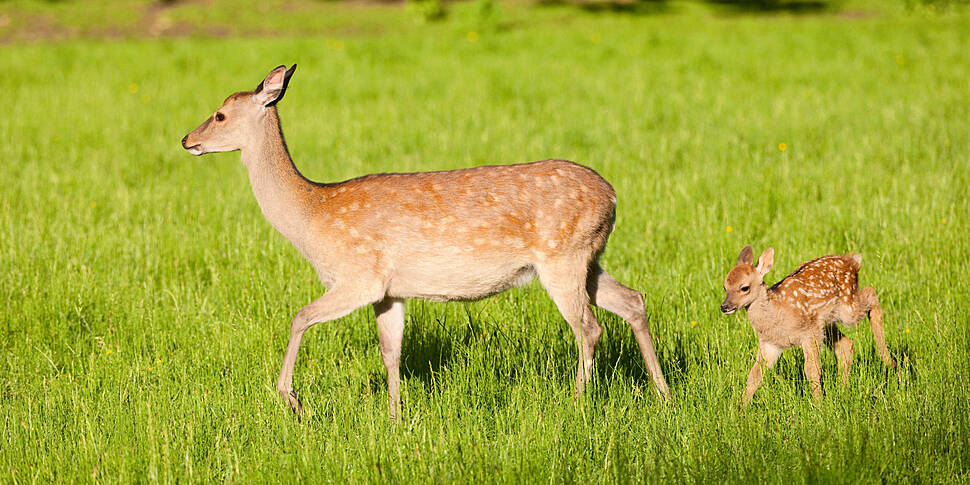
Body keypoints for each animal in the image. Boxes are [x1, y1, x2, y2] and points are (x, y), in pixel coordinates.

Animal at [180, 64, 664, 418]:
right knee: (633, 301)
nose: (187, 139)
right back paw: (664, 395)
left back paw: (575, 404)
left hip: (562, 256)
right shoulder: (389, 291)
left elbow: (300, 317)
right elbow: (390, 352)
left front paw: (292, 400)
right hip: (589, 256)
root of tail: (613, 196)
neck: (312, 216)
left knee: (589, 327)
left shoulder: (359, 276)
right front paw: (395, 418)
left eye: (220, 114)